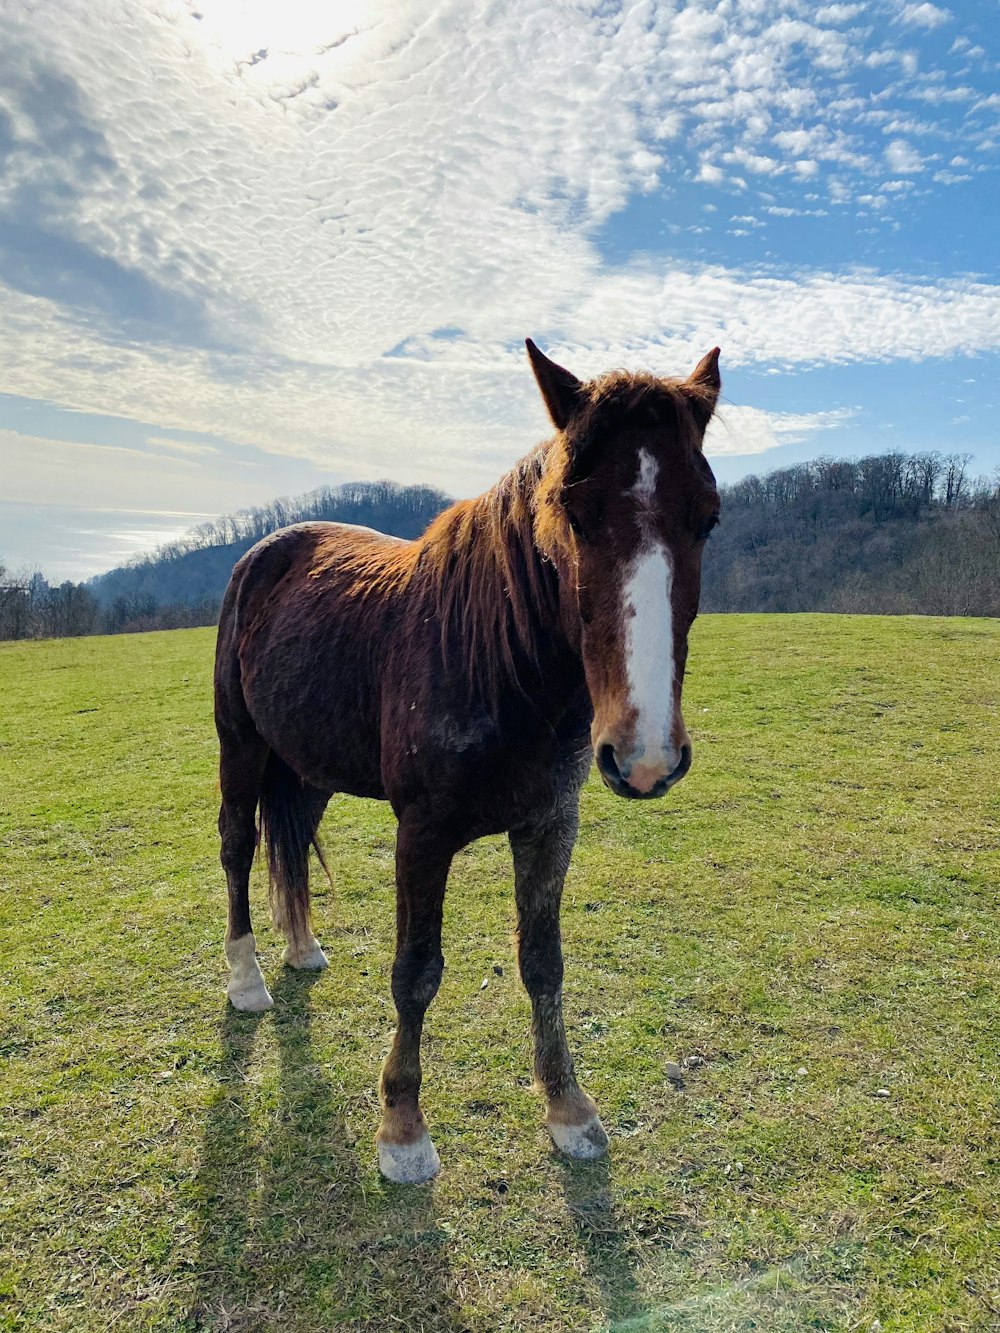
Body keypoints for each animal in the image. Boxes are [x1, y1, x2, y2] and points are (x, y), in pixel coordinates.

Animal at [216, 338, 725, 1183]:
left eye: (708, 519)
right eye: (573, 512)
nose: (645, 754)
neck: (498, 662)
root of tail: (264, 553)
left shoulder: (550, 824)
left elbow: (543, 962)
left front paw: (568, 1108)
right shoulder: (421, 835)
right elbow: (416, 971)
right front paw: (402, 1128)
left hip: (310, 763)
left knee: (291, 838)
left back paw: (302, 948)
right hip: (241, 743)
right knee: (237, 845)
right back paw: (247, 978)